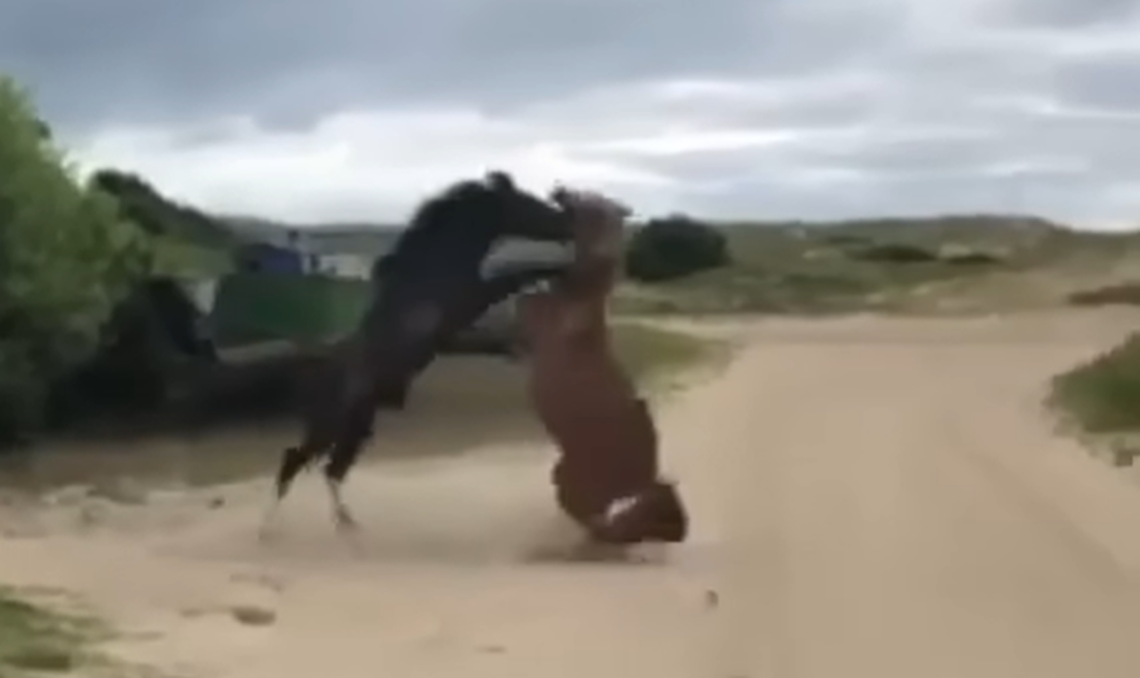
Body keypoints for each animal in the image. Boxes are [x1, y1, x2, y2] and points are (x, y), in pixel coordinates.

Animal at [261, 171, 576, 537]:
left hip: (357, 425)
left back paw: (346, 525)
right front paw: (563, 269)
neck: (433, 265)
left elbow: (495, 330)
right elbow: (517, 274)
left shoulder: (455, 332)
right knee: (297, 460)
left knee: (328, 469)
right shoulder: (473, 297)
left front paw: (517, 346)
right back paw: (273, 529)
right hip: (331, 425)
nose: (568, 223)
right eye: (530, 202)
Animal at [518, 187, 689, 547]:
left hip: (575, 477)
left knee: (599, 520)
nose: (559, 190)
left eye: (591, 199)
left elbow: (531, 299)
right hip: (569, 473)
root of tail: (641, 480)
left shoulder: (541, 317)